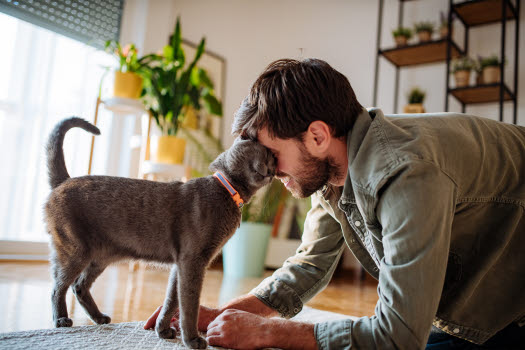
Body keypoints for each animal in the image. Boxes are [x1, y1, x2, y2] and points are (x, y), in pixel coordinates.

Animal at [44, 117, 274, 348]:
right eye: (267, 155)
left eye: (274, 161)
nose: (272, 171)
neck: (228, 192)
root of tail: (64, 181)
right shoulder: (193, 261)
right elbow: (189, 304)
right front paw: (192, 339)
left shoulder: (181, 263)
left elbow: (172, 299)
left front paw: (162, 330)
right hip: (75, 250)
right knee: (58, 286)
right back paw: (61, 320)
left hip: (100, 257)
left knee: (79, 286)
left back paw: (99, 317)